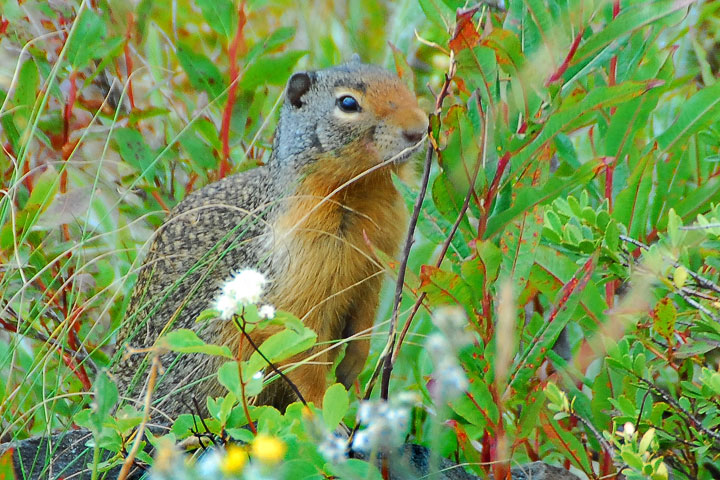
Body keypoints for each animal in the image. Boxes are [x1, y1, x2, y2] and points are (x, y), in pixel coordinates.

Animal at [113, 60, 428, 414]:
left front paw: (351, 371)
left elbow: (364, 321)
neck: (362, 191)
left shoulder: (371, 272)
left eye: (399, 82)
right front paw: (322, 411)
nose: (420, 129)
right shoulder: (297, 291)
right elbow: (302, 356)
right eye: (348, 103)